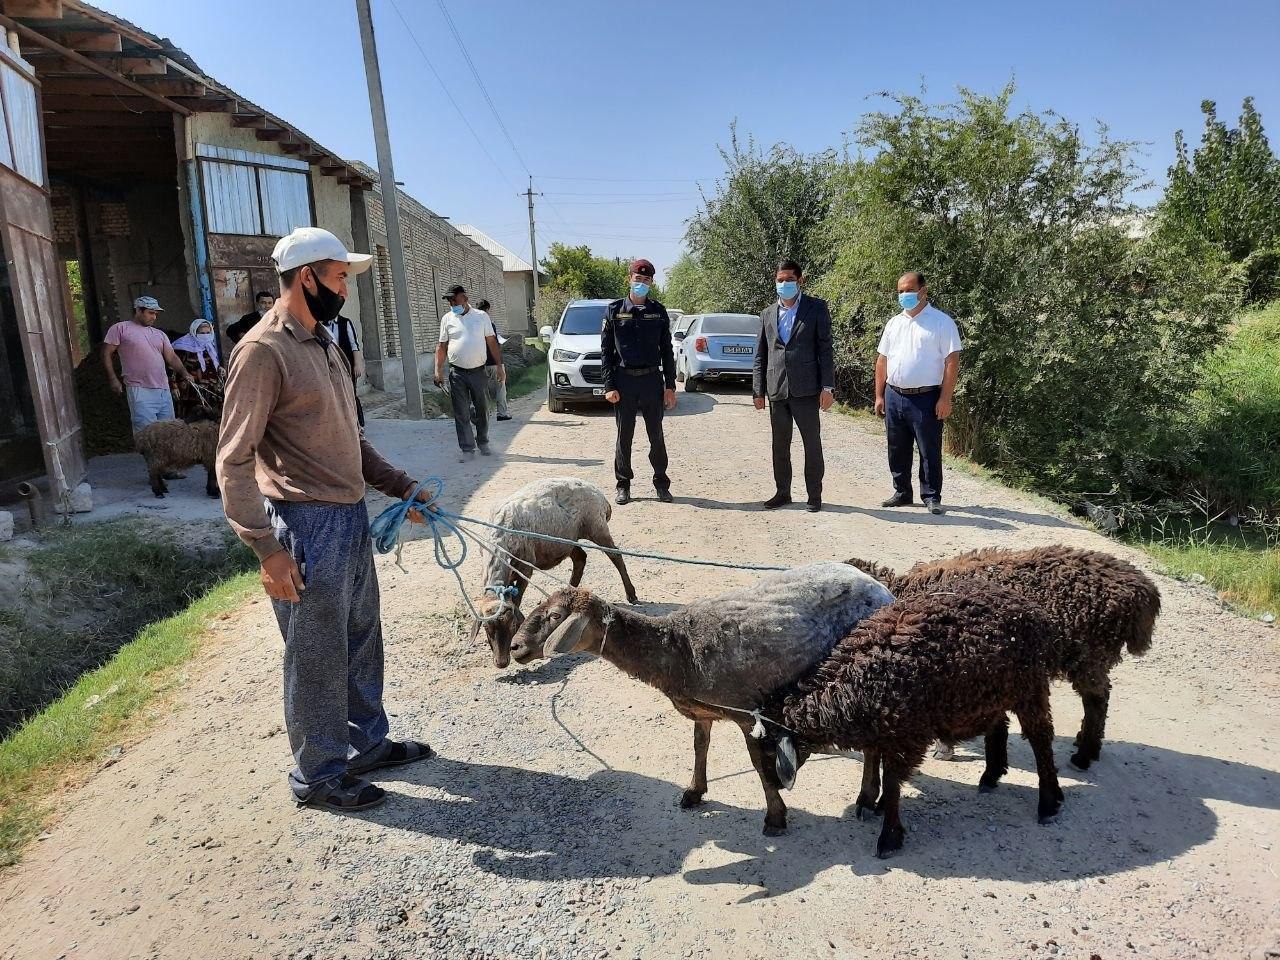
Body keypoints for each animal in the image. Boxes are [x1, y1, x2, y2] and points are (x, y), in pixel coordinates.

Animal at [473, 476, 637, 670]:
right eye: (486, 628)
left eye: (511, 623)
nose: (501, 663)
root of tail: (599, 495)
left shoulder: (526, 567)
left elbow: (518, 599)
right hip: (567, 539)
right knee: (580, 558)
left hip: (596, 527)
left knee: (615, 555)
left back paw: (631, 594)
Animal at [504, 563, 896, 834]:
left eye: (555, 616)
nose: (515, 647)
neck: (678, 648)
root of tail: (883, 590)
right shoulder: (702, 711)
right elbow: (699, 747)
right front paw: (694, 792)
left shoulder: (745, 711)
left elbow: (759, 765)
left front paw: (775, 816)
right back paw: (872, 798)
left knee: (872, 741)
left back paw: (866, 799)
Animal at [757, 583, 1070, 860]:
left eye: (770, 749)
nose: (773, 786)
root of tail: (1032, 609)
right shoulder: (884, 729)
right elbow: (874, 761)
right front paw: (870, 802)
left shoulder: (906, 735)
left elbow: (893, 782)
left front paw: (889, 837)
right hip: (990, 691)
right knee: (999, 724)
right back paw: (991, 776)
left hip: (1030, 686)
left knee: (1041, 737)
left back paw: (1048, 802)